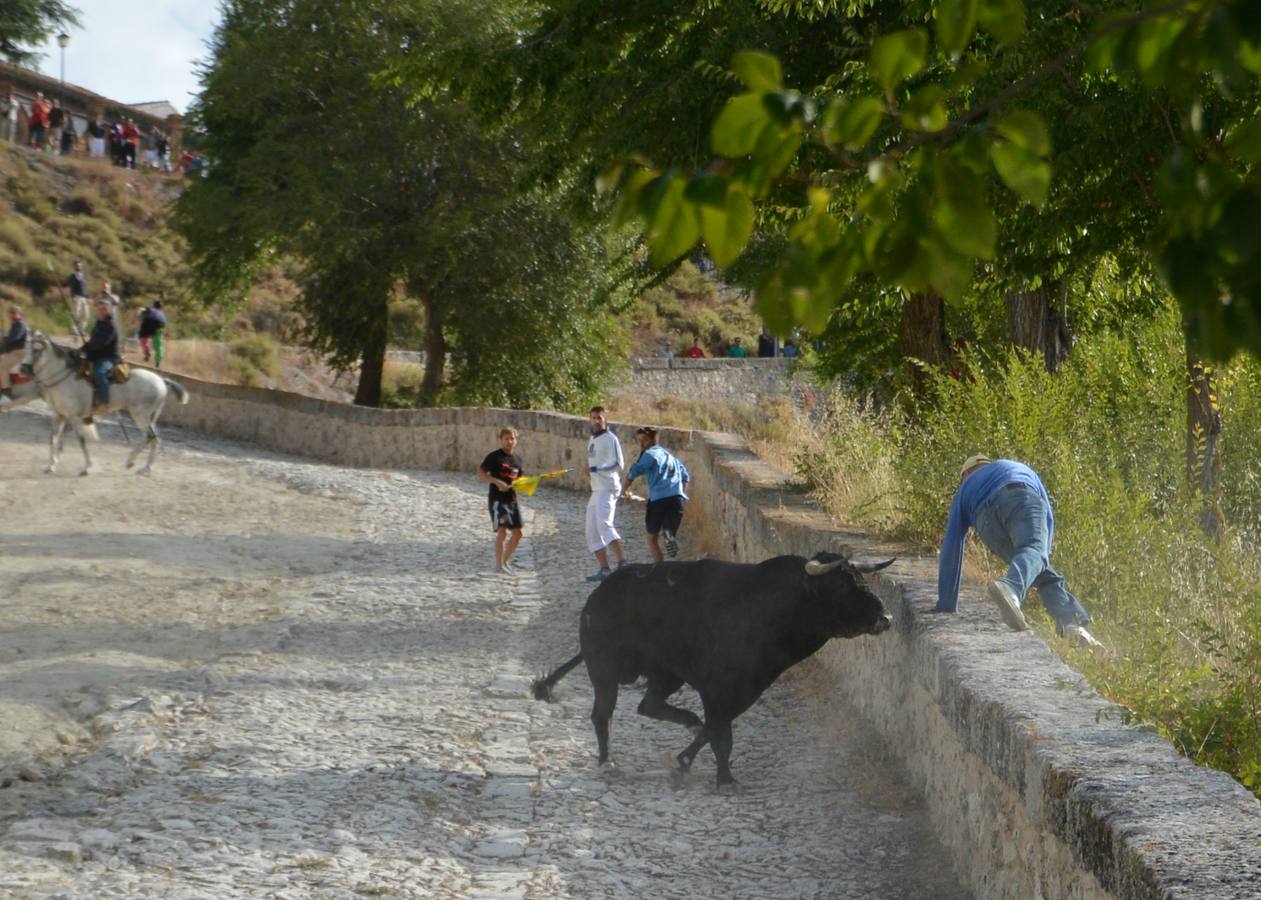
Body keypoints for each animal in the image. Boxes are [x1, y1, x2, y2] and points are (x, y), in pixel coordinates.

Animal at [1, 330, 189, 473]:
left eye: (37, 350)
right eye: (27, 349)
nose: (23, 369)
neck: (63, 379)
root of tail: (161, 380)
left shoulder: (74, 417)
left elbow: (81, 440)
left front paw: (86, 467)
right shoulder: (59, 416)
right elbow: (53, 440)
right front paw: (51, 465)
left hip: (139, 415)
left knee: (149, 436)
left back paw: (131, 462)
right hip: (151, 417)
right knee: (154, 439)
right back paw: (146, 468)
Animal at [532, 549, 897, 781]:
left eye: (860, 579)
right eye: (839, 585)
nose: (886, 617)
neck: (768, 607)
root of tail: (597, 596)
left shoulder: (748, 687)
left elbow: (718, 726)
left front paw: (694, 763)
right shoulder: (717, 687)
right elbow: (720, 731)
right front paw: (717, 775)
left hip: (665, 674)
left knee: (649, 706)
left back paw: (684, 725)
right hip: (604, 669)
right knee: (602, 715)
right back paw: (607, 762)